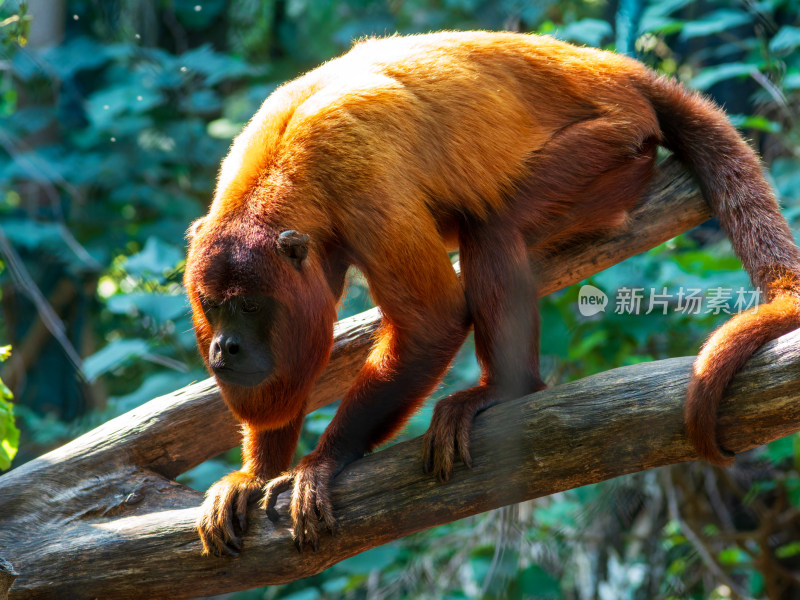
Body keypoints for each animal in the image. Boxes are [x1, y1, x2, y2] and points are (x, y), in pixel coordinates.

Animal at [183, 30, 800, 556]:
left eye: (250, 307)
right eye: (214, 308)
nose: (224, 348)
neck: (279, 177)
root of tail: (612, 68)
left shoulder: (361, 180)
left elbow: (432, 320)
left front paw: (321, 462)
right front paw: (257, 474)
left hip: (613, 145)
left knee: (494, 221)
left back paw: (504, 388)